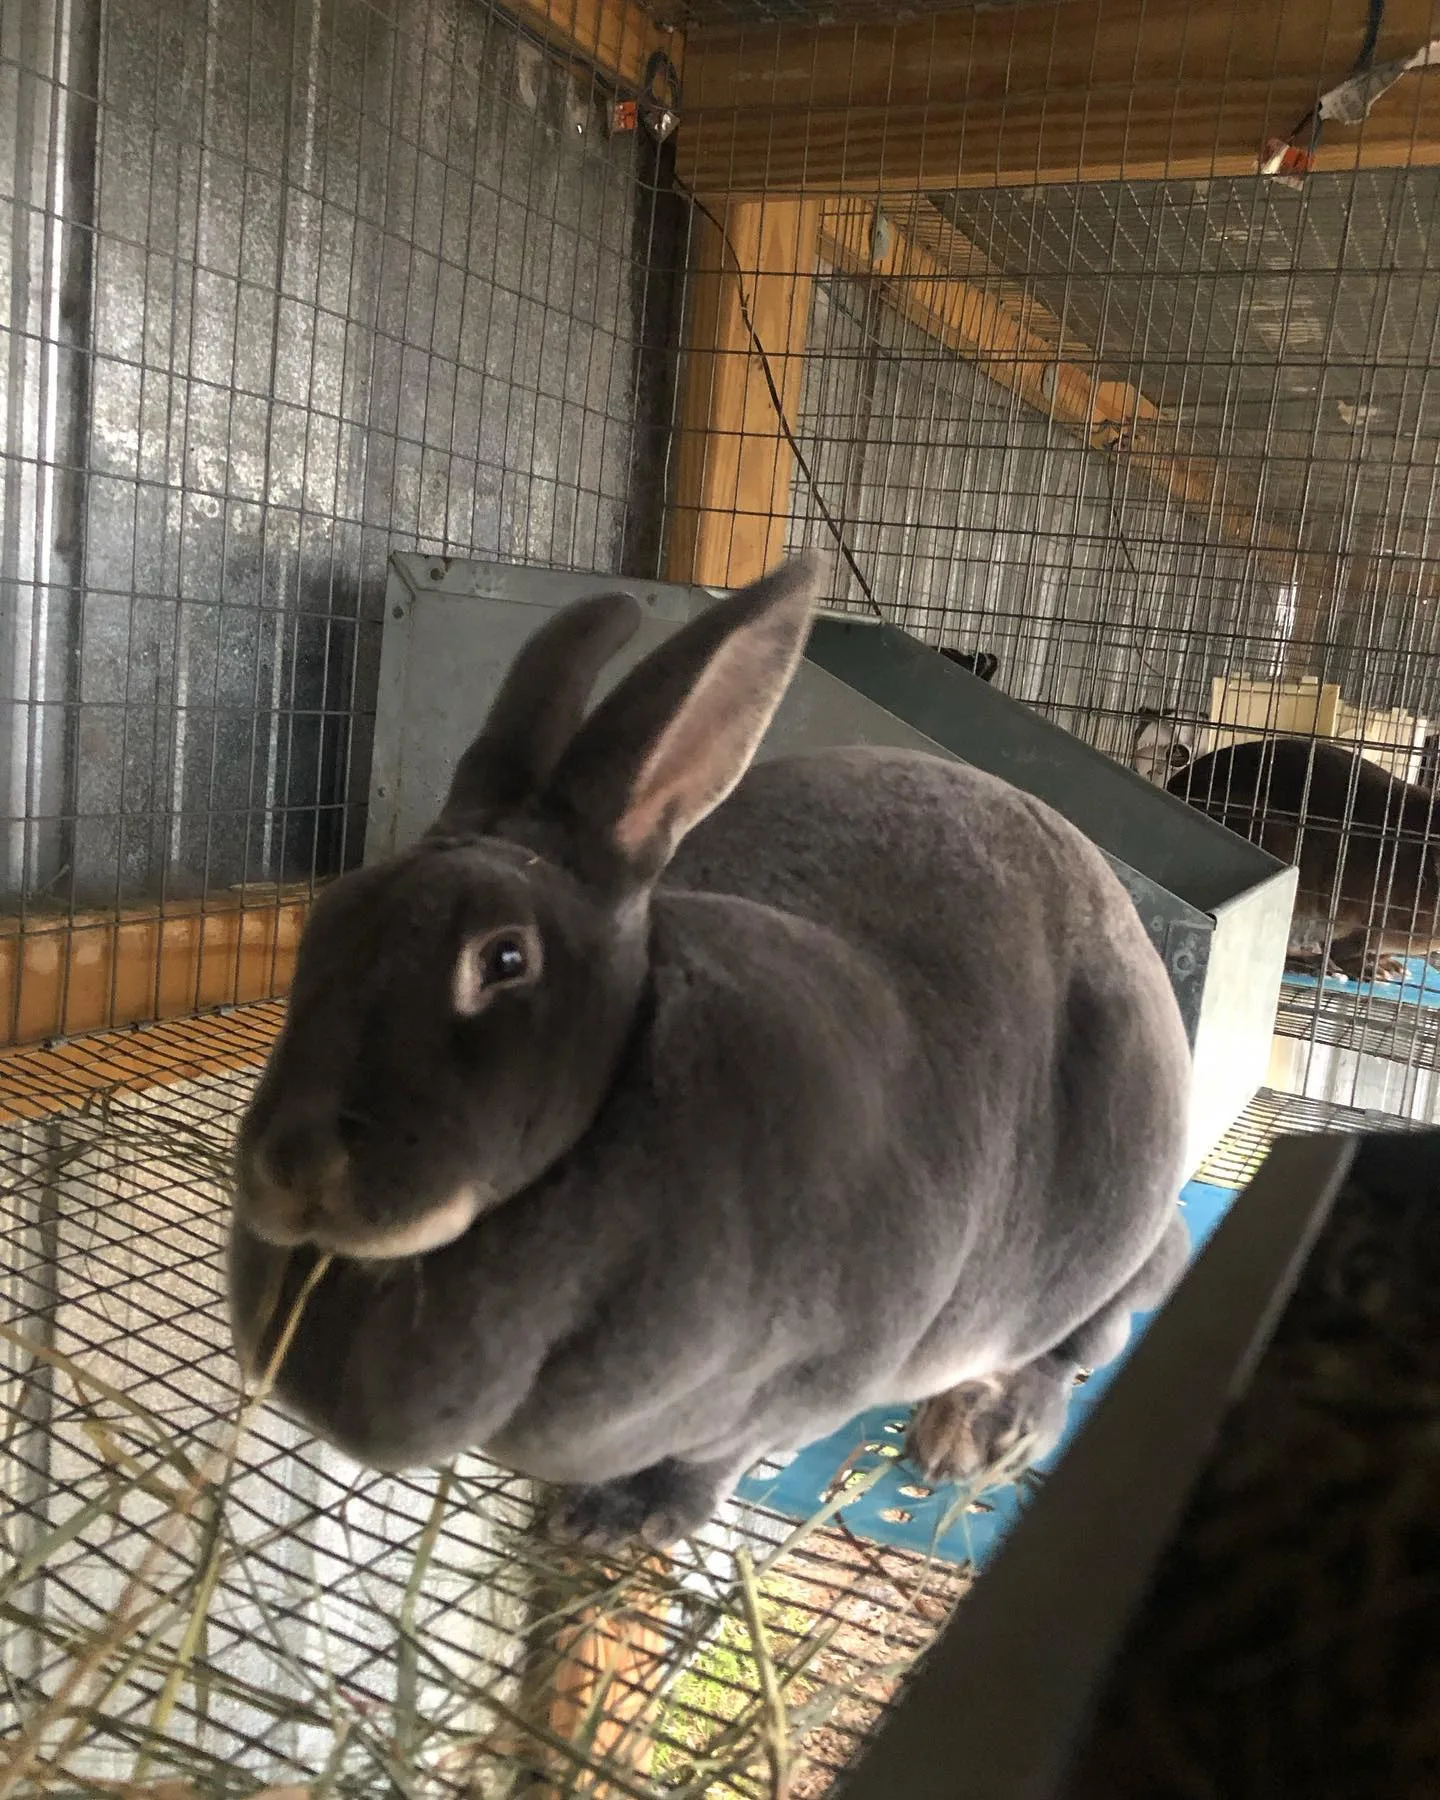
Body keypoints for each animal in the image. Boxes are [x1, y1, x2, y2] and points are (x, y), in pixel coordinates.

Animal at [228, 554, 1192, 1553]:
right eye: (326, 922)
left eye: (504, 960)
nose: (294, 1167)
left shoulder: (808, 1383)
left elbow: (715, 1460)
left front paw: (621, 1521)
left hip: (1107, 1226)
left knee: (1113, 1312)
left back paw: (984, 1433)